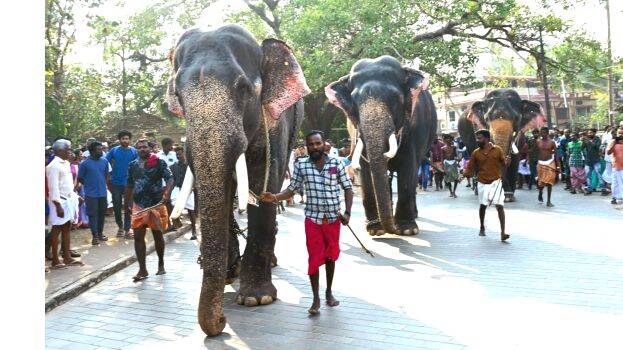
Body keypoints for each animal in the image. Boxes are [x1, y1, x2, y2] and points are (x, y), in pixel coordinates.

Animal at [167, 24, 310, 336]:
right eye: (179, 96)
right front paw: (227, 276)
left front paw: (257, 298)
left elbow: (262, 185)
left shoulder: (275, 124)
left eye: (244, 89)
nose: (222, 320)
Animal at [326, 55, 438, 235]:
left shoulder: (414, 128)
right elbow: (365, 170)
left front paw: (407, 230)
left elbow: (408, 167)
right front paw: (375, 230)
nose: (392, 230)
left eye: (396, 98)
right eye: (354, 102)